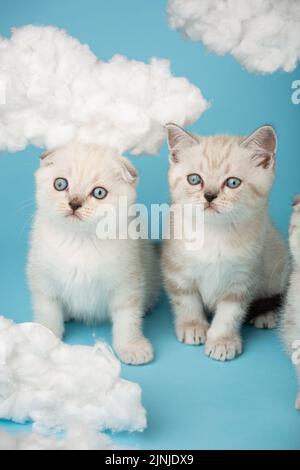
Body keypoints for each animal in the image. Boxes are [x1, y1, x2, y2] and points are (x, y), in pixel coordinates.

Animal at [27, 143, 159, 368]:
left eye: (99, 193)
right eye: (60, 184)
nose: (74, 203)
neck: (80, 241)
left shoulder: (127, 284)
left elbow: (127, 319)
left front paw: (131, 346)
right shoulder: (44, 280)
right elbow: (48, 312)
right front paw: (45, 339)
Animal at [163, 123, 290, 362]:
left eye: (233, 183)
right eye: (194, 179)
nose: (209, 196)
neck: (215, 234)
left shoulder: (242, 279)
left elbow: (230, 314)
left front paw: (222, 341)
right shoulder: (176, 270)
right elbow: (186, 300)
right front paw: (193, 326)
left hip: (276, 267)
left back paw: (266, 315)